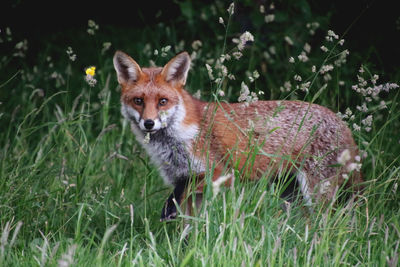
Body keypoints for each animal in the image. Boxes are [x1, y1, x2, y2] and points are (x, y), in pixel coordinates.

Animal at [113, 50, 366, 222]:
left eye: (162, 101)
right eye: (138, 101)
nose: (149, 123)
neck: (177, 139)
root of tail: (342, 123)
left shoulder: (219, 173)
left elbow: (180, 195)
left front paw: (168, 212)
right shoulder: (183, 180)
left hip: (316, 193)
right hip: (290, 194)